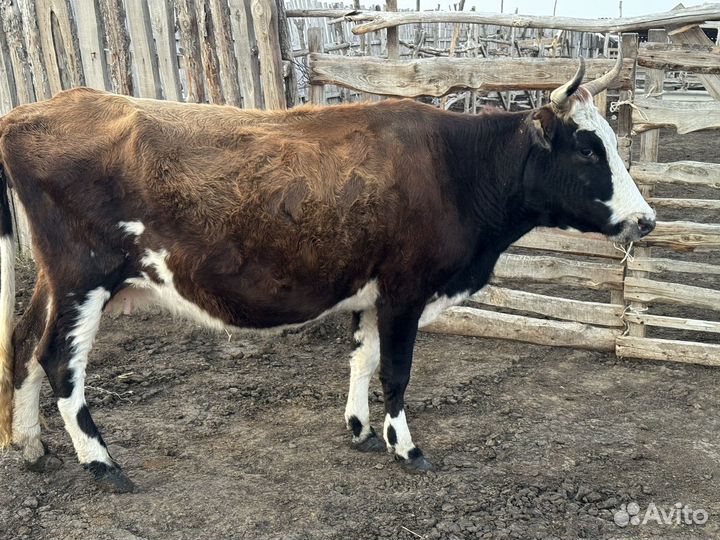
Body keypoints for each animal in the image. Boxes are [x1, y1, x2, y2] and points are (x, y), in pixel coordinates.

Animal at [0, 53, 655, 493]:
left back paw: (30, 444)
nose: (645, 219)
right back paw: (102, 463)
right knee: (59, 361)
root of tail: (33, 110)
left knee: (24, 346)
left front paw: (360, 427)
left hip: (56, 281)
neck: (456, 167)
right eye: (588, 147)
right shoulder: (405, 290)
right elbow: (396, 370)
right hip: (84, 276)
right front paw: (405, 447)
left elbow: (362, 358)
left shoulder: (371, 292)